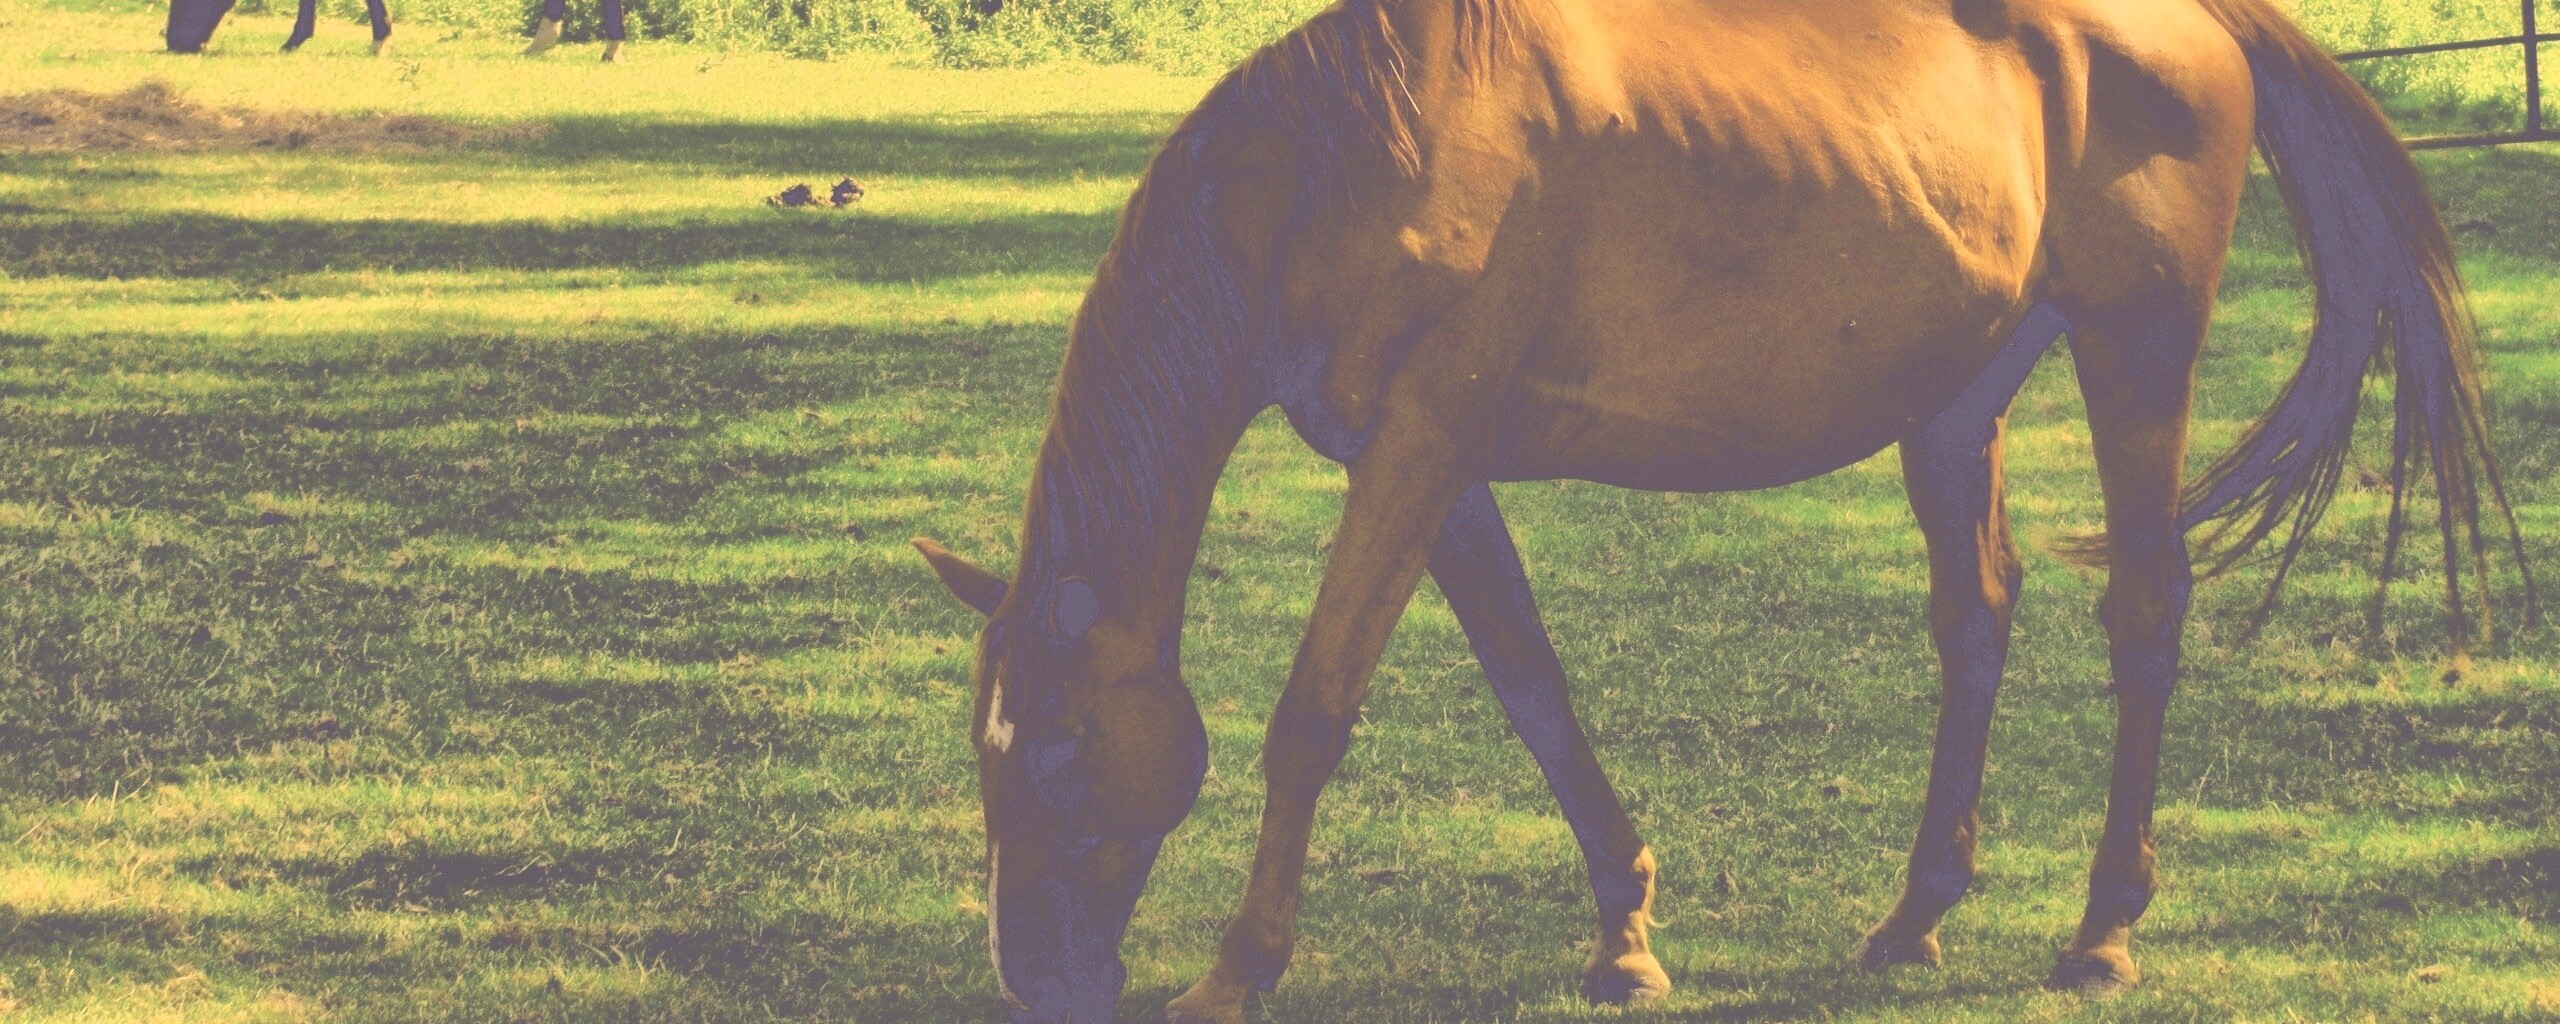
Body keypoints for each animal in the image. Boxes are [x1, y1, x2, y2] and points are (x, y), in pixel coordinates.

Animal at [908, 0, 2535, 1020]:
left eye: (1056, 749)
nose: (1035, 982)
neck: (1339, 158)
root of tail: (2193, 21)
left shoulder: (1415, 454)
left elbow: (1313, 712)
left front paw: (1238, 969)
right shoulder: (1435, 468)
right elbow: (1534, 688)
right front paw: (1626, 935)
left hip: (2139, 347)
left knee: (2141, 612)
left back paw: (2100, 934)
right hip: (1957, 405)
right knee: (1976, 622)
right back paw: (1915, 914)